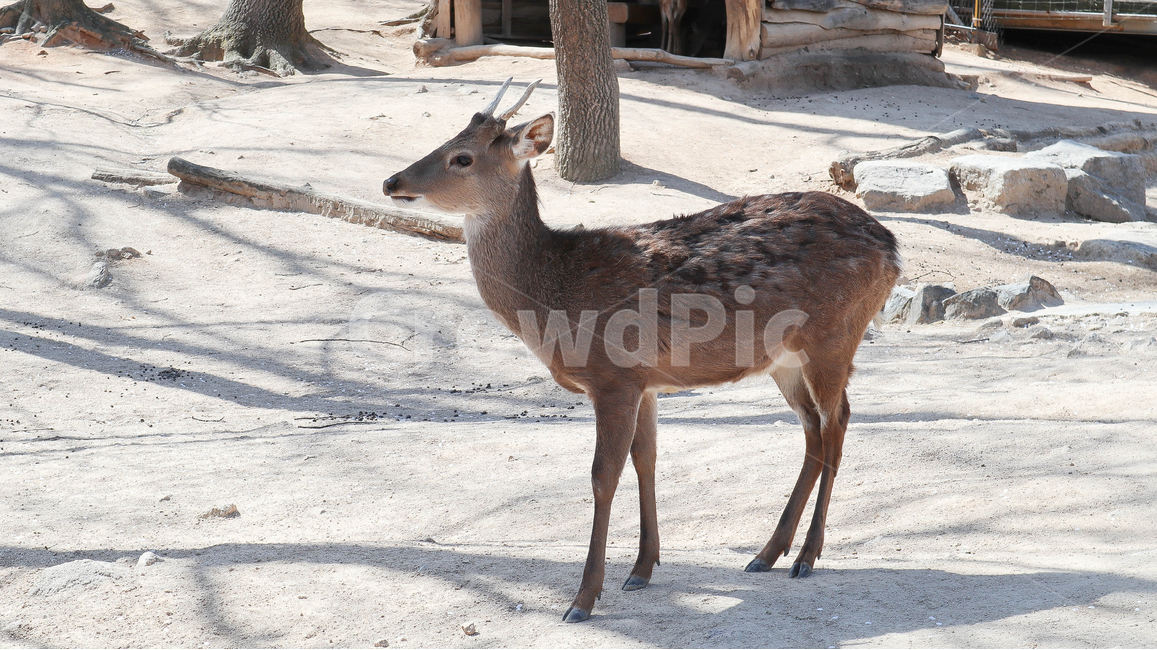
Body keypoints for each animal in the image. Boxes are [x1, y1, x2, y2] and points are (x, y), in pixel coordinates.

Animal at [383, 79, 901, 623]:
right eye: (446, 139)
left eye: (461, 157)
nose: (392, 181)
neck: (555, 295)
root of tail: (893, 249)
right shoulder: (645, 382)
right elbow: (645, 459)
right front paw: (641, 569)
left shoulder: (613, 376)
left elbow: (602, 475)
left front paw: (583, 599)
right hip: (785, 358)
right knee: (813, 430)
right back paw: (767, 553)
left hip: (833, 336)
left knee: (837, 422)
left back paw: (805, 556)